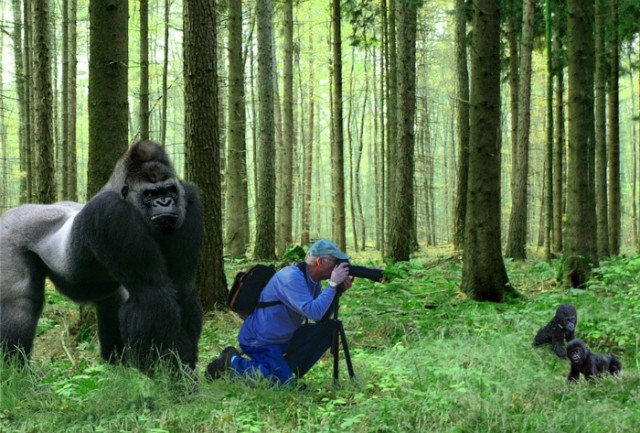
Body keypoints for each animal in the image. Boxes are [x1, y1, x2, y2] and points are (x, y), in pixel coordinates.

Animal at [0, 140, 204, 370]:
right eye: (150, 194)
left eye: (169, 190)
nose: (165, 202)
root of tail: (15, 211)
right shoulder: (113, 212)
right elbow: (152, 294)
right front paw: (171, 370)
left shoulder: (189, 197)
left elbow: (181, 287)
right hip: (10, 234)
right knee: (20, 302)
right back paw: (13, 367)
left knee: (112, 302)